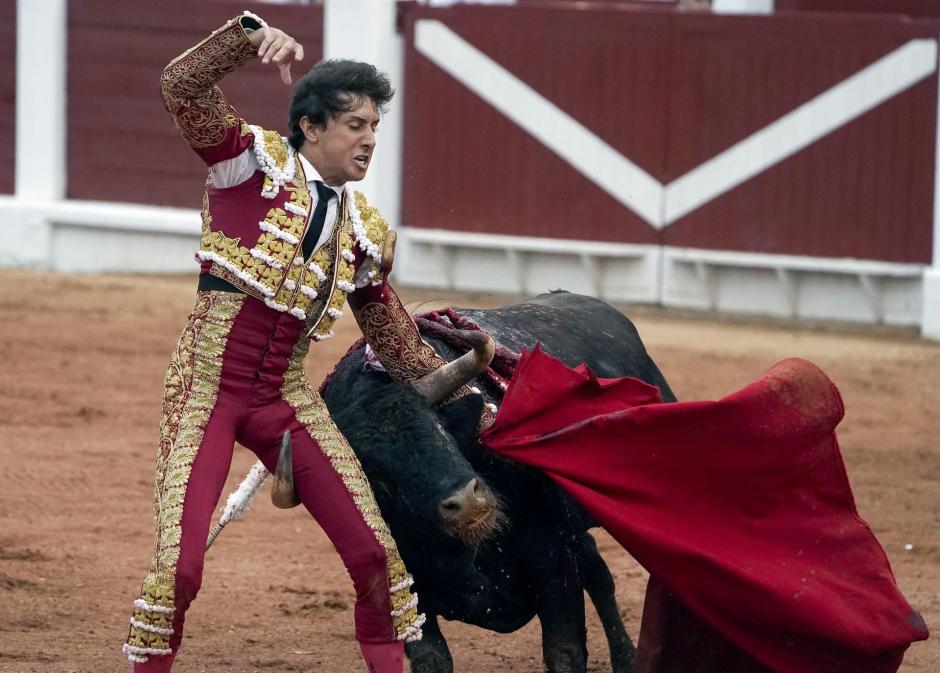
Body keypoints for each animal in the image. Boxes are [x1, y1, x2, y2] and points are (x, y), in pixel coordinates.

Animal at [322, 290, 676, 672]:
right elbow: (433, 658)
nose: (468, 503)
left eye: (440, 429)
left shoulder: (555, 562)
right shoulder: (407, 596)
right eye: (377, 475)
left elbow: (564, 651)